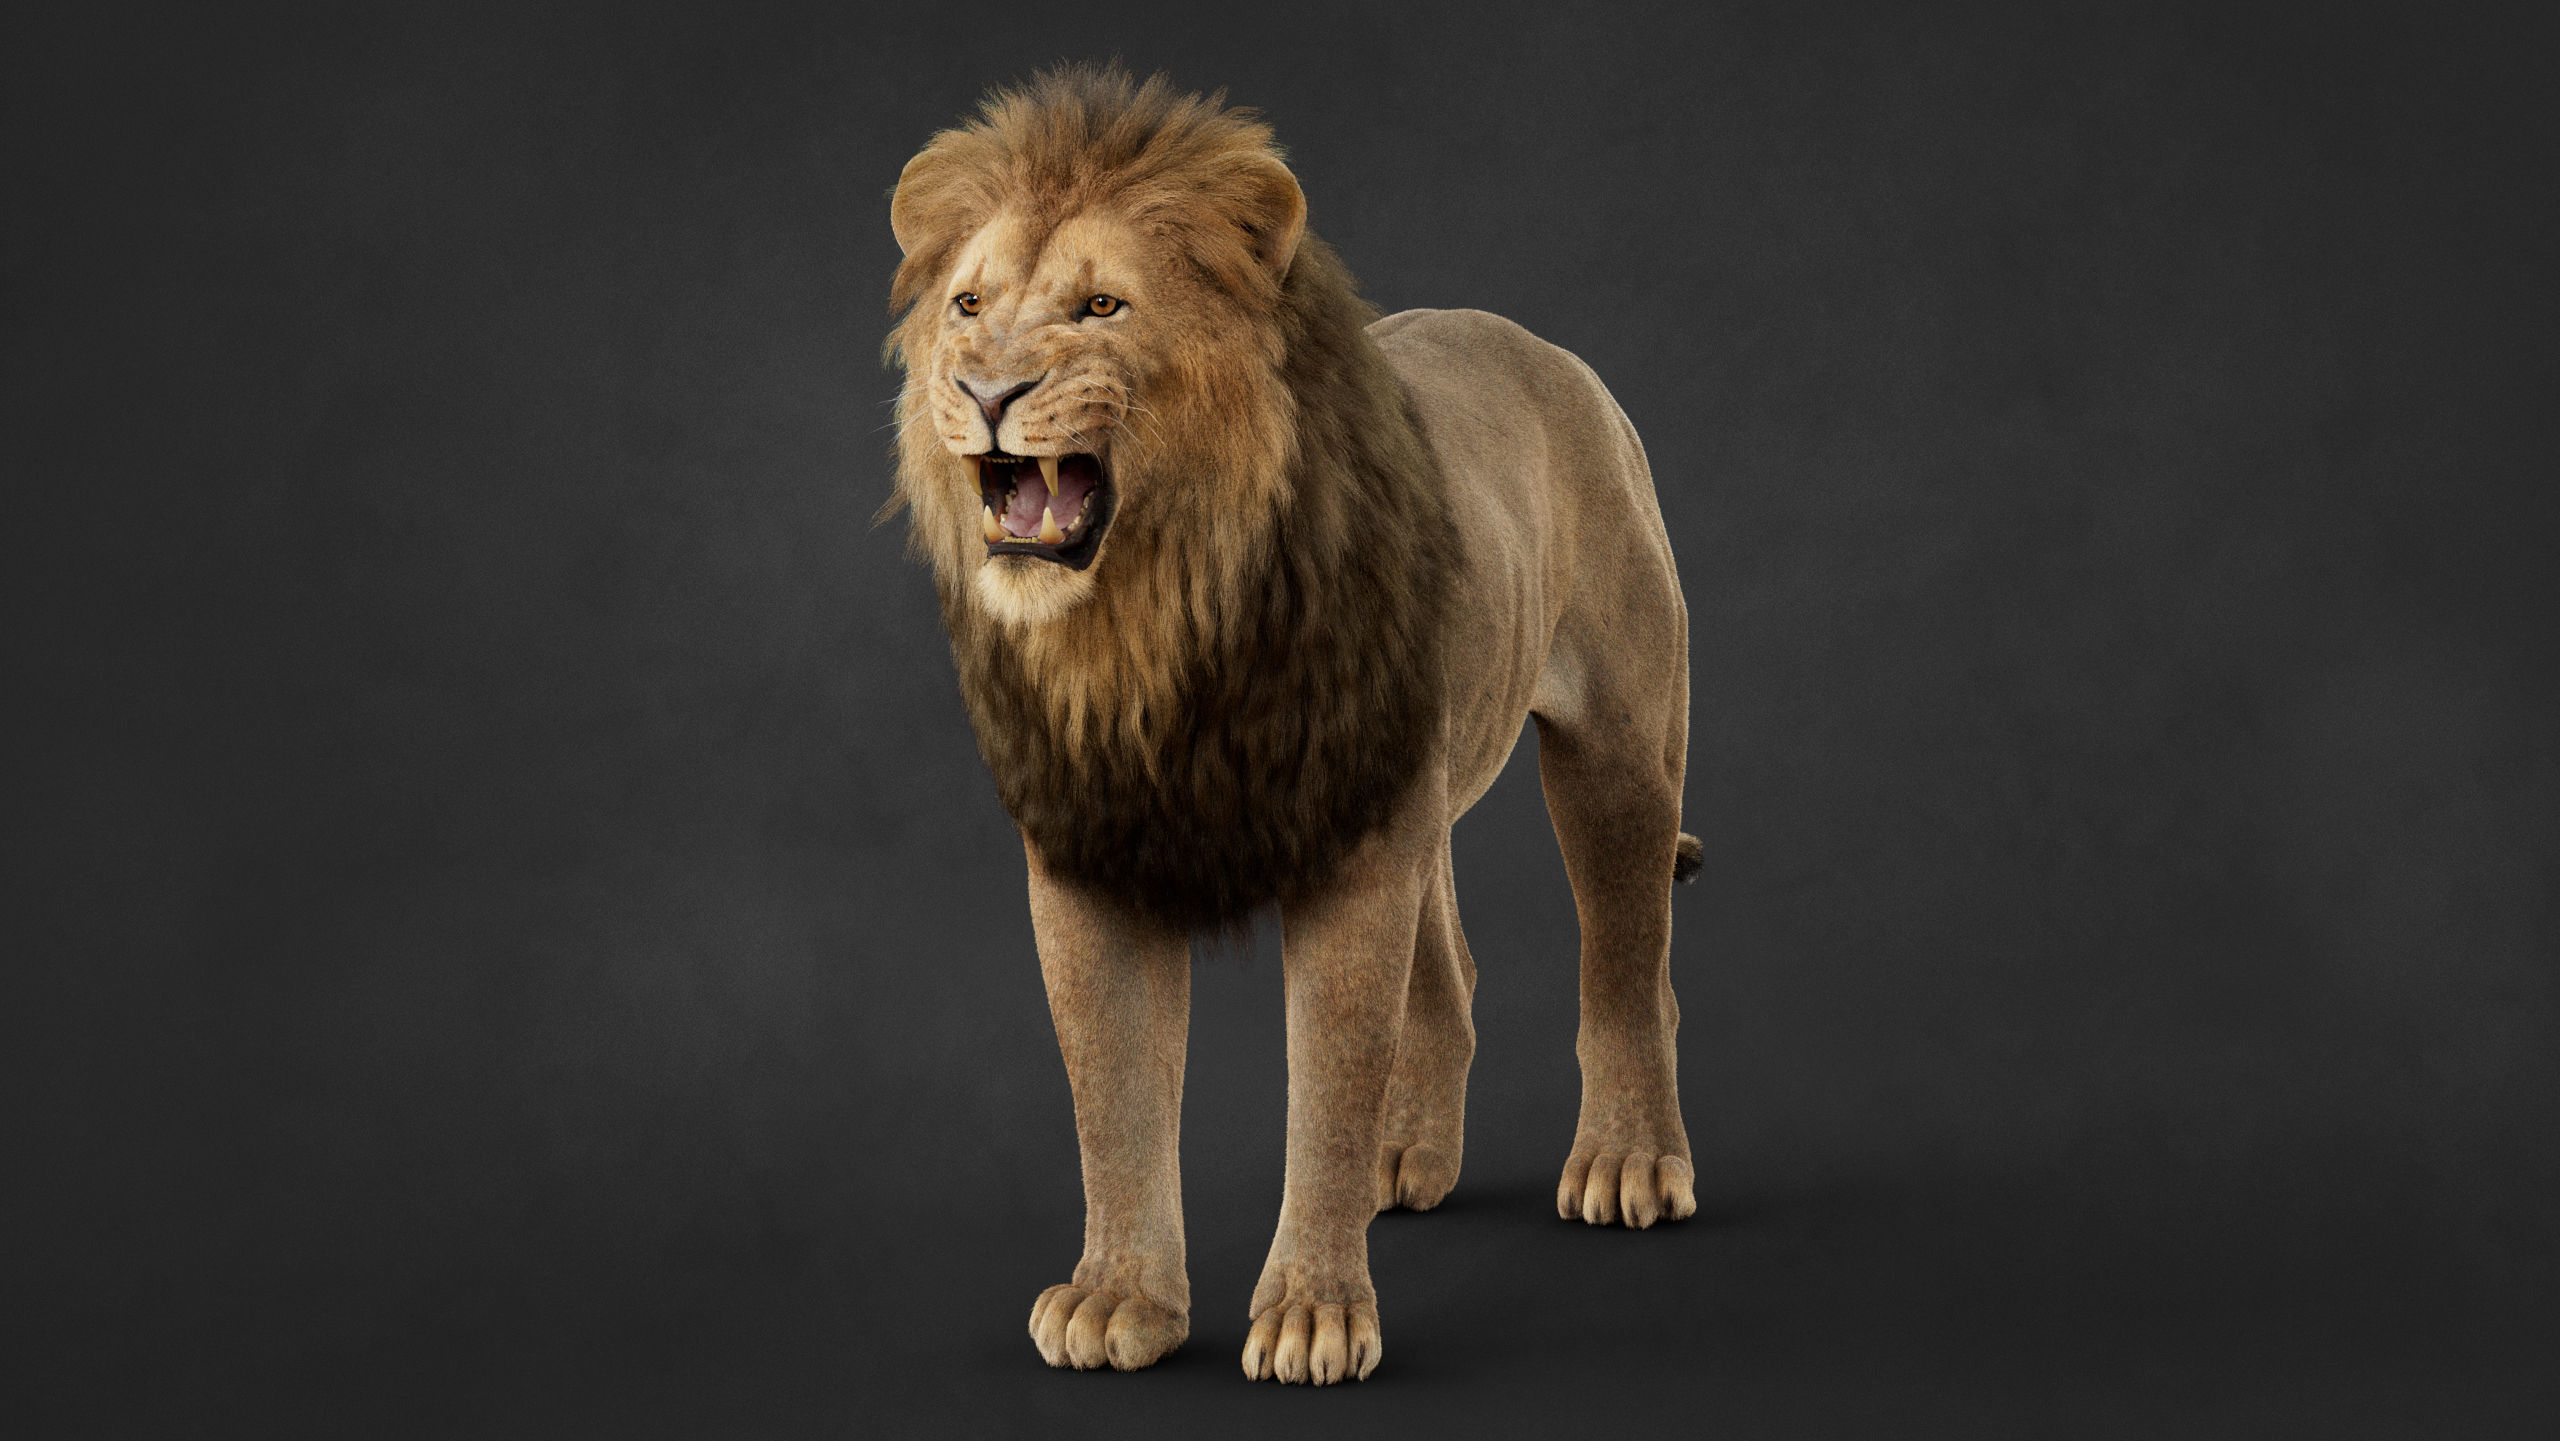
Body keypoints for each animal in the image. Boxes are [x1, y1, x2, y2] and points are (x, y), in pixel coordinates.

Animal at [885, 66, 1703, 1385]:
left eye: (1101, 305)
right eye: (968, 305)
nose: (985, 393)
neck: (1152, 627)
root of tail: (1547, 349)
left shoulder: (1354, 851)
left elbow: (1324, 1080)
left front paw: (1314, 1316)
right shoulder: (1086, 857)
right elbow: (1114, 1093)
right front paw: (1118, 1299)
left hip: (1619, 744)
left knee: (1630, 963)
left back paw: (1627, 1159)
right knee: (1453, 973)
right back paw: (1403, 1159)